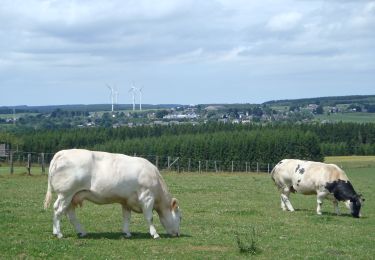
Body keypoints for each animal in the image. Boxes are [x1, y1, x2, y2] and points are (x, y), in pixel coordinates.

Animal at [44, 149, 182, 239]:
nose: (177, 234)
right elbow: (150, 217)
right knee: (58, 210)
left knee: (70, 214)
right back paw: (59, 233)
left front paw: (127, 233)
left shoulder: (127, 200)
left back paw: (80, 232)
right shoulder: (147, 197)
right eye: (180, 218)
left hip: (72, 196)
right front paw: (155, 234)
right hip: (65, 194)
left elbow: (126, 217)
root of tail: (62, 152)